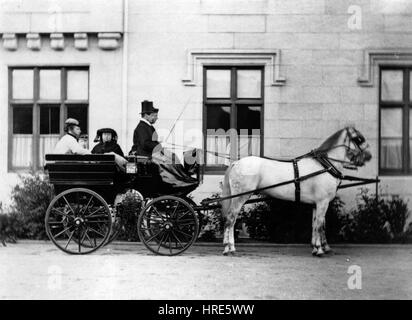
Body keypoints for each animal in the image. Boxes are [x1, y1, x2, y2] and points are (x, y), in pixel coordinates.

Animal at [222, 126, 374, 256]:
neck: (325, 166)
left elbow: (316, 224)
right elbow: (320, 225)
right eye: (358, 139)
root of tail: (236, 163)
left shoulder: (316, 204)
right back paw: (229, 248)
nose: (369, 156)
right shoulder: (323, 202)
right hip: (239, 198)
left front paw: (317, 247)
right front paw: (319, 249)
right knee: (231, 219)